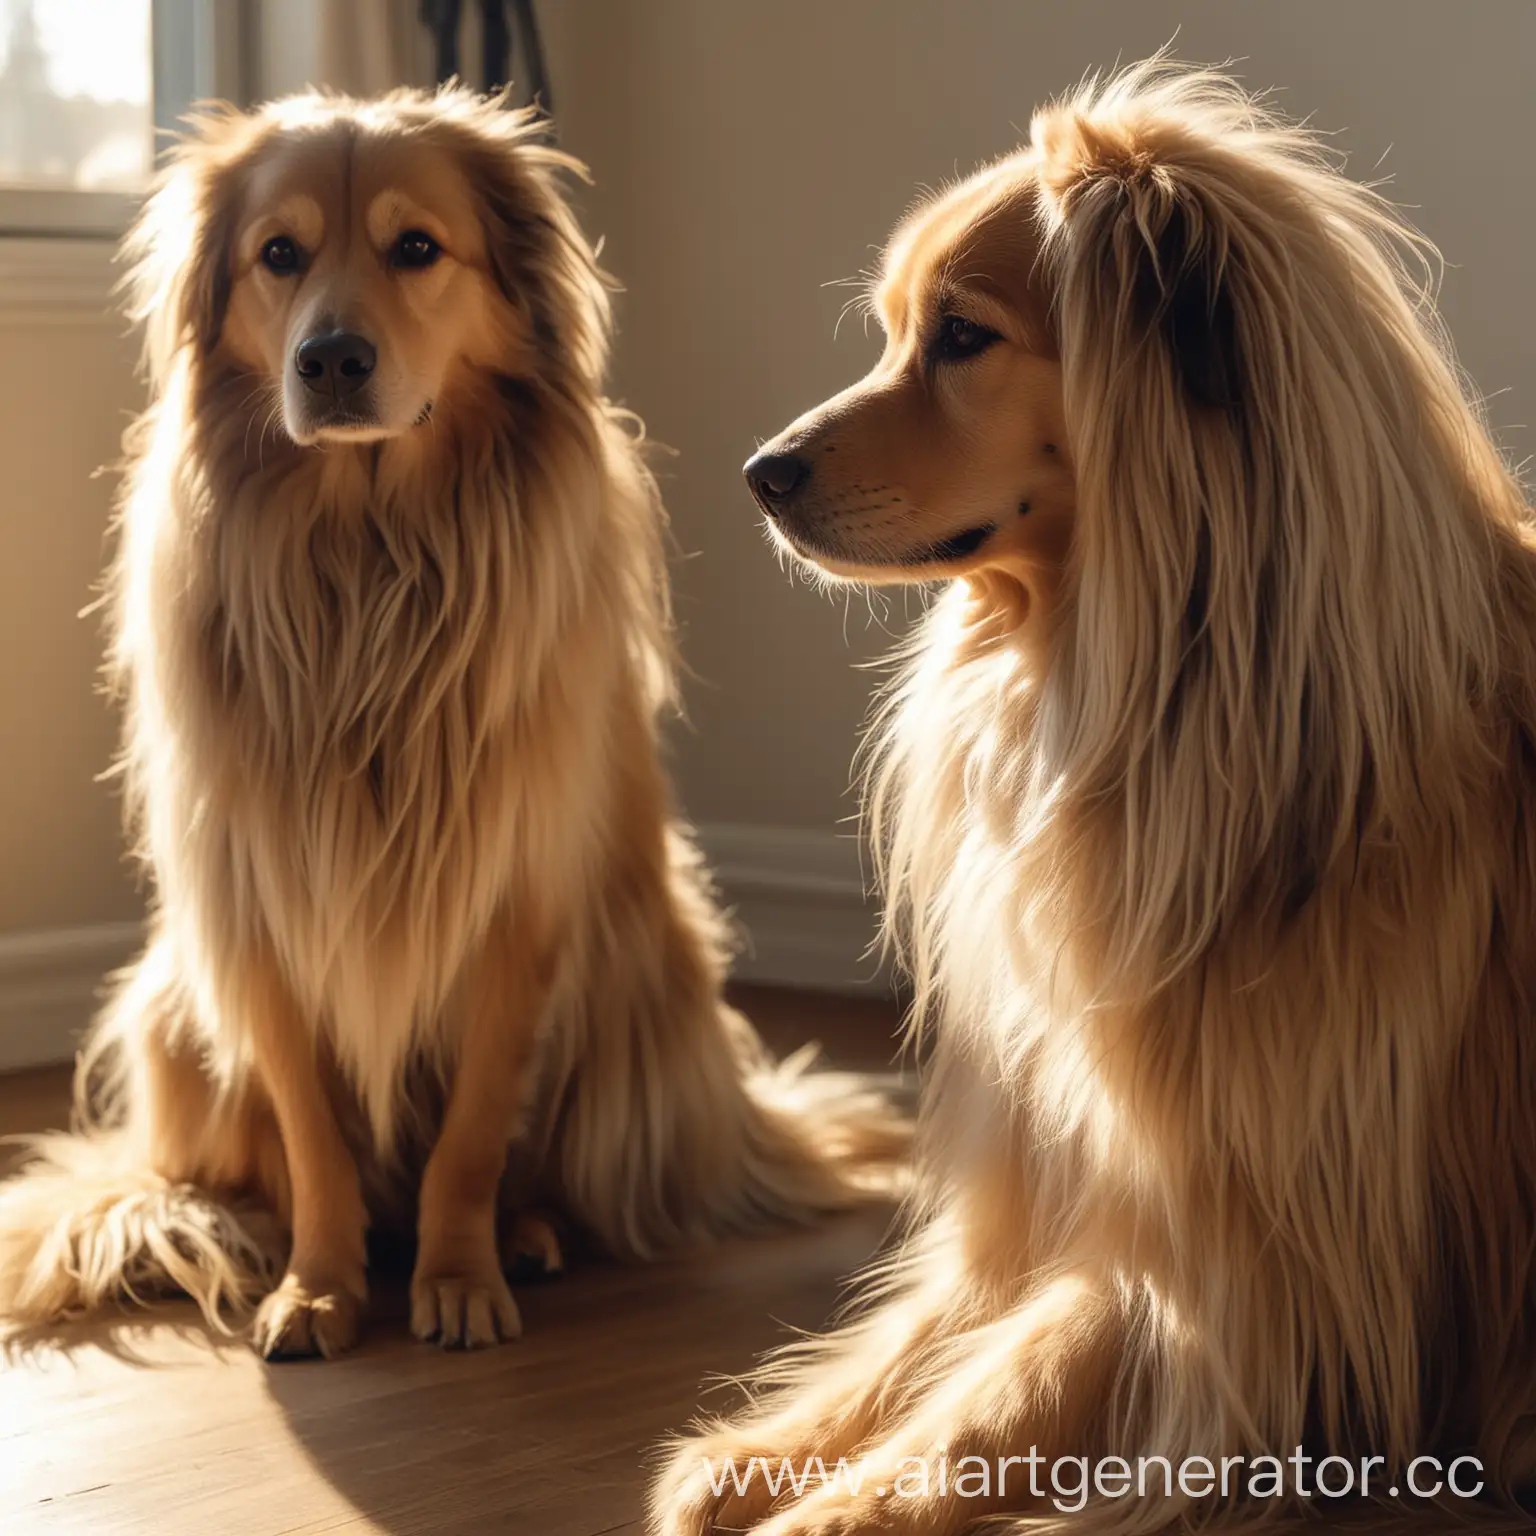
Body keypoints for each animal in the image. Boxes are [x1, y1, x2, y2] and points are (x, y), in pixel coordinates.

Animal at [0, 87, 903, 1357]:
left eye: (416, 248)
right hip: (174, 1008)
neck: (371, 548)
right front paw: (319, 1284)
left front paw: (462, 1275)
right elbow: (314, 1138)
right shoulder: (266, 914)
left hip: (643, 977)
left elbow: (474, 1132)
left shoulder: (517, 905)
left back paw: (523, 1234)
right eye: (278, 254)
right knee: (220, 1181)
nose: (331, 359)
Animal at [651, 59, 1536, 1536]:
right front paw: (753, 1454)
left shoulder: (1250, 1282)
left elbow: (988, 1400)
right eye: (894, 331)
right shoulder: (1047, 1187)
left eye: (963, 335)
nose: (758, 476)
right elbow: (923, 1338)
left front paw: (833, 1510)